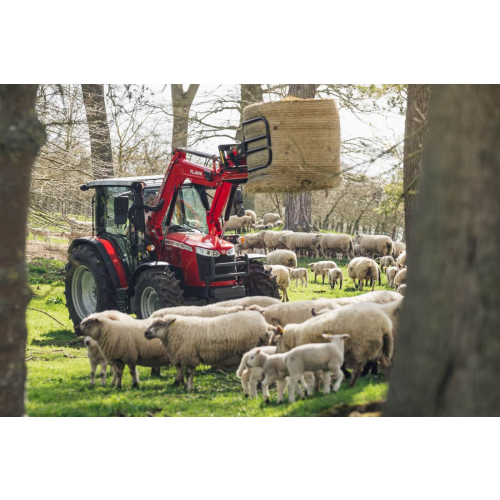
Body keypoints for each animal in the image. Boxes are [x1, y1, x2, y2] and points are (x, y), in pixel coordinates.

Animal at [145, 312, 276, 390]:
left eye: (160, 323)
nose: (145, 333)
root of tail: (265, 324)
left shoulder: (190, 355)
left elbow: (189, 373)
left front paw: (188, 388)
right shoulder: (180, 355)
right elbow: (180, 370)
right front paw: (178, 383)